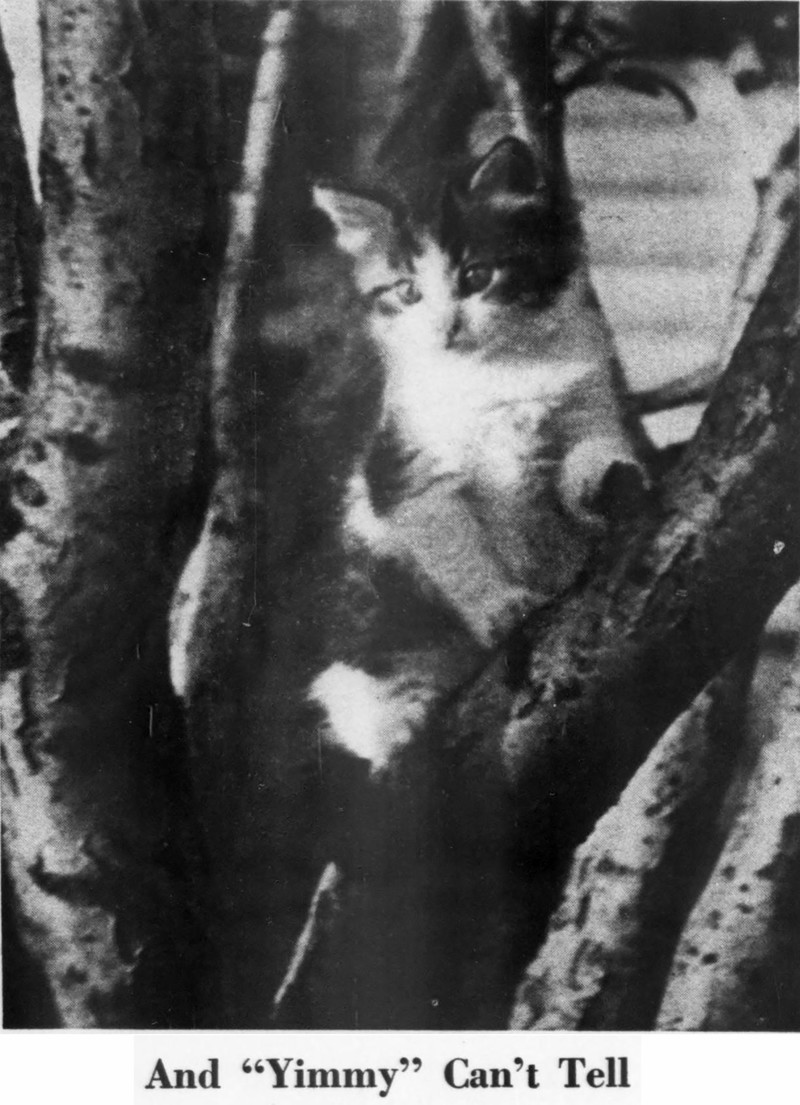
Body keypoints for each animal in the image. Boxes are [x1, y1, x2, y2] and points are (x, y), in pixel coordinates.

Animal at [307, 136, 648, 779]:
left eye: (477, 276)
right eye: (408, 291)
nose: (445, 328)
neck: (501, 371)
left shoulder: (589, 404)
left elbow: (593, 449)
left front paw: (604, 479)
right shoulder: (407, 474)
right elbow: (460, 550)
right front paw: (501, 606)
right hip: (375, 613)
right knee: (367, 685)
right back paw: (399, 719)